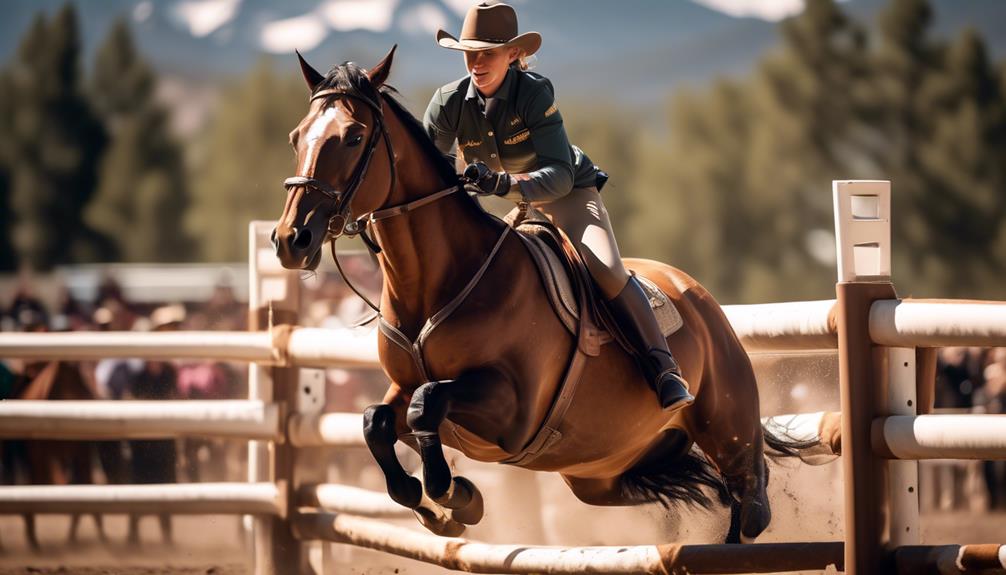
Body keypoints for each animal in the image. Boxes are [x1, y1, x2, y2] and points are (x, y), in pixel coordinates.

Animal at [275, 48, 784, 542]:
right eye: (296, 137)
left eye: (354, 137)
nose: (290, 240)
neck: (437, 284)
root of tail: (698, 294)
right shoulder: (401, 390)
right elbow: (375, 421)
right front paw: (440, 509)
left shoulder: (511, 409)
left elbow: (427, 403)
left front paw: (457, 495)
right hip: (601, 473)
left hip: (727, 427)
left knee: (751, 504)